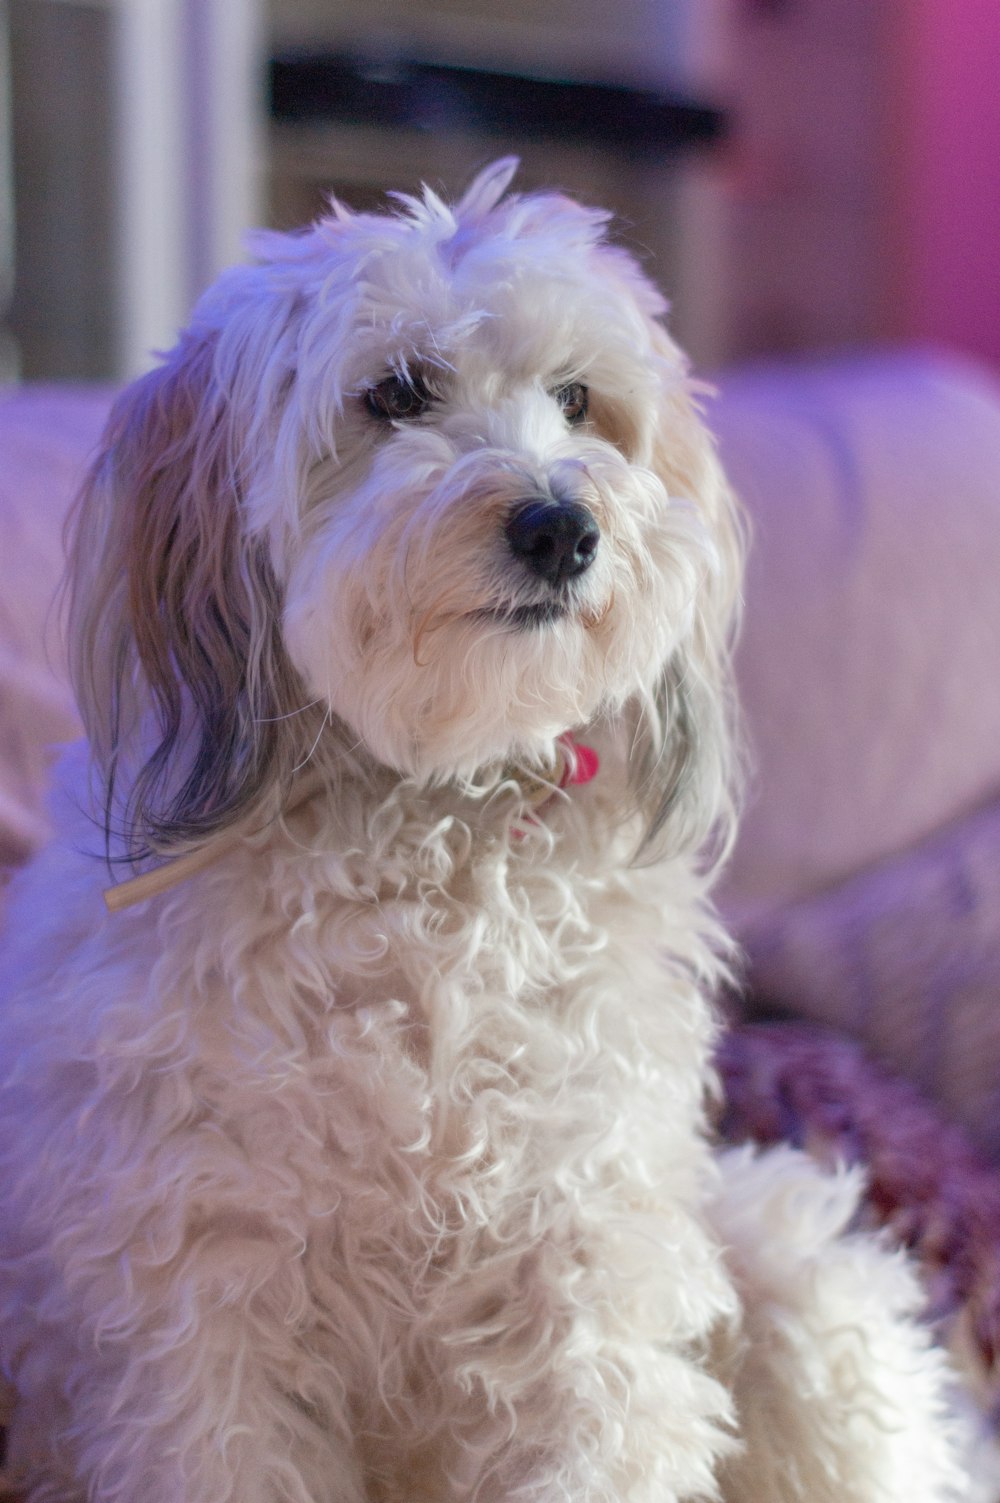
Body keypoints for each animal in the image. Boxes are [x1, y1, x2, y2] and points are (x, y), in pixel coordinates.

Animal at [0, 158, 968, 1496]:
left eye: (578, 401)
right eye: (396, 393)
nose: (563, 526)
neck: (430, 818)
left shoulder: (586, 1263)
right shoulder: (199, 1312)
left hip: (792, 1272)